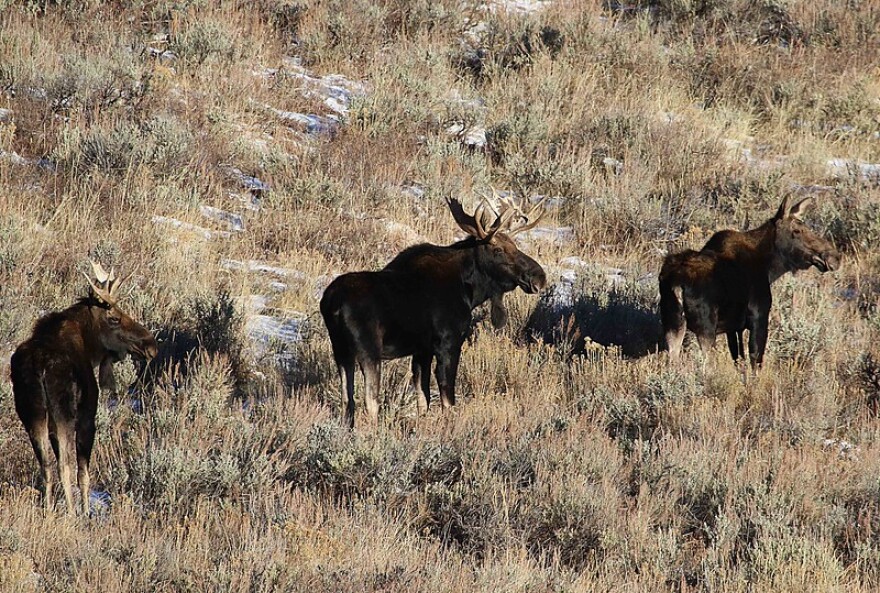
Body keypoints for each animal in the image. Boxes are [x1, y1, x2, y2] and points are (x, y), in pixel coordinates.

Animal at [9, 262, 158, 512]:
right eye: (114, 318)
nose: (150, 345)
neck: (91, 348)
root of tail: (38, 366)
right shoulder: (87, 415)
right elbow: (84, 473)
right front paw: (86, 511)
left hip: (32, 414)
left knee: (45, 466)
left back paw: (49, 510)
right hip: (64, 414)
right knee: (64, 467)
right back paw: (71, 512)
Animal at [320, 192, 548, 428]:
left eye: (515, 245)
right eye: (498, 250)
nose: (539, 277)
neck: (470, 292)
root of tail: (332, 303)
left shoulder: (422, 350)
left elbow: (424, 398)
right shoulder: (449, 343)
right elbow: (447, 397)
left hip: (340, 350)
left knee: (347, 400)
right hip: (368, 350)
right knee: (370, 401)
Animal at [660, 195, 840, 366]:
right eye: (796, 230)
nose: (834, 257)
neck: (770, 268)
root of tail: (676, 283)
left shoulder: (734, 328)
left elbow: (739, 361)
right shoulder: (759, 317)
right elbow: (755, 361)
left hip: (673, 324)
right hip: (705, 328)